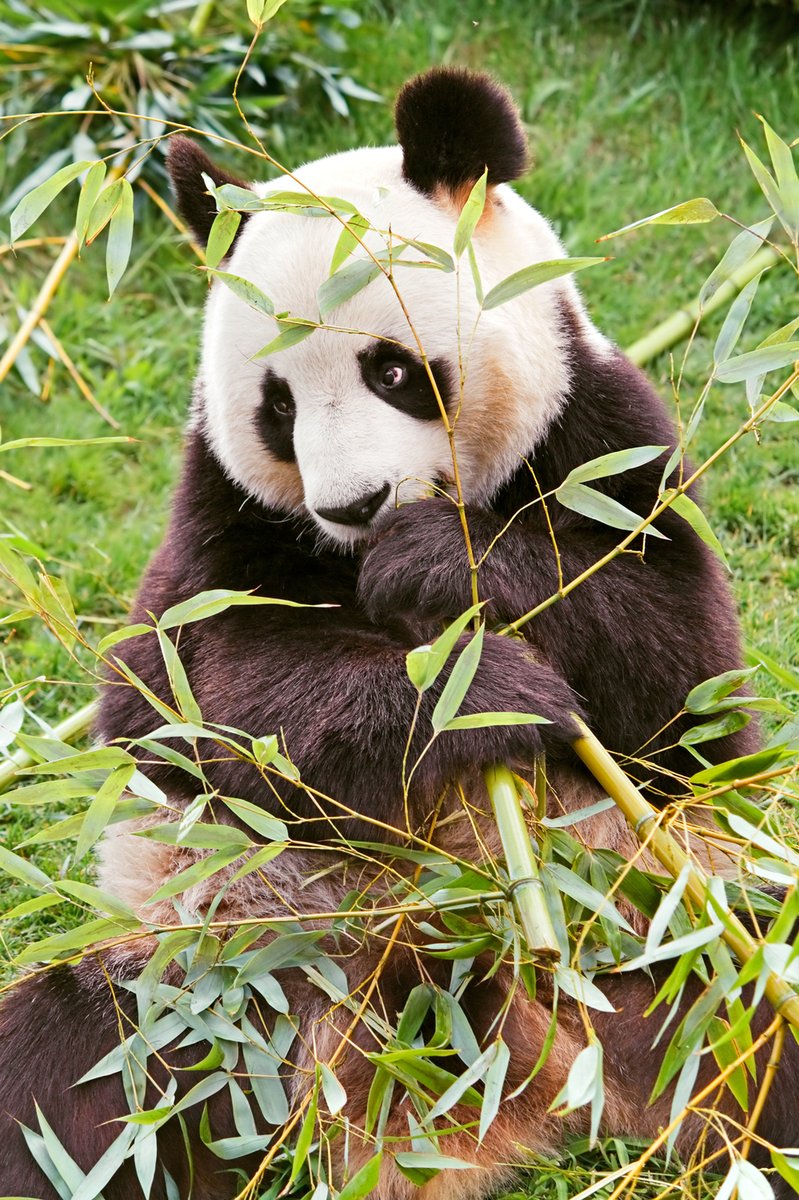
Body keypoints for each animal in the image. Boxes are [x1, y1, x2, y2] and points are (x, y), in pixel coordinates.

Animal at [1, 70, 796, 1200]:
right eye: (277, 405)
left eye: (391, 371)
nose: (353, 504)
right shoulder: (220, 511)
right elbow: (178, 691)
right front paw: (479, 695)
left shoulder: (602, 436)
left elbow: (681, 675)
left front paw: (441, 569)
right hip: (212, 986)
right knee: (67, 1072)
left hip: (670, 932)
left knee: (757, 1007)